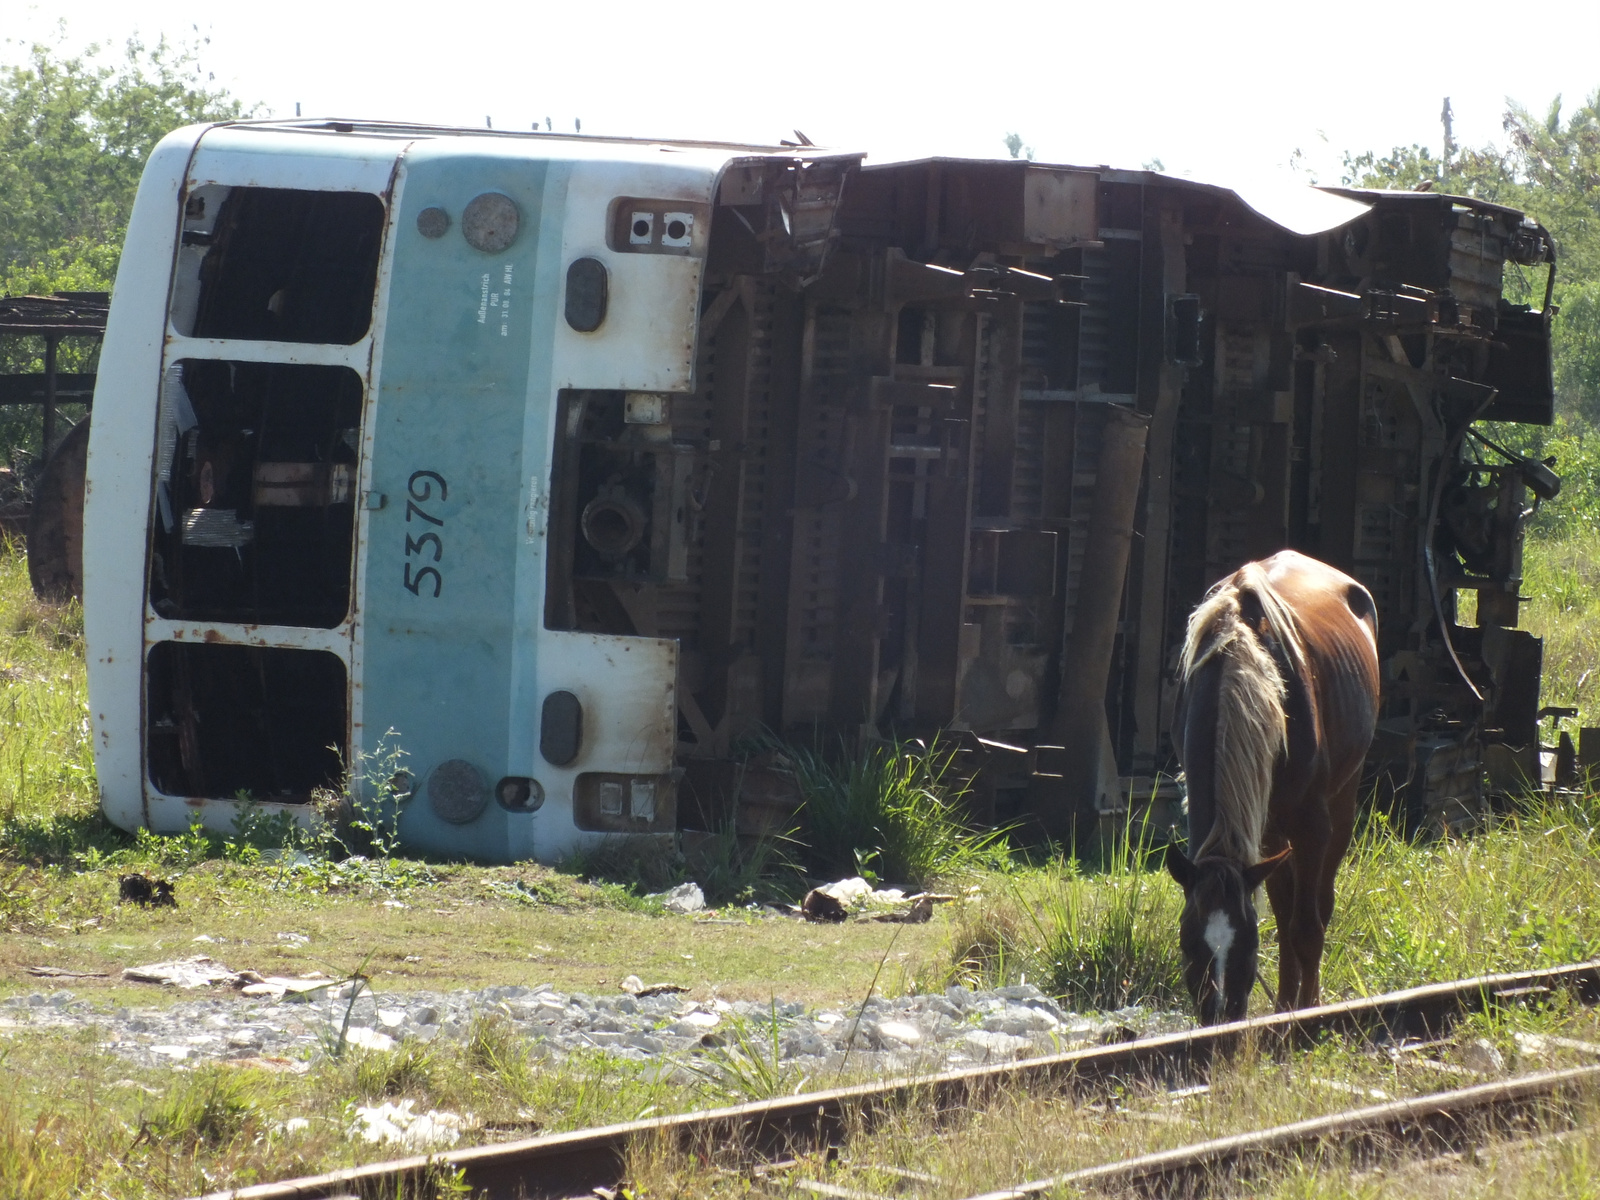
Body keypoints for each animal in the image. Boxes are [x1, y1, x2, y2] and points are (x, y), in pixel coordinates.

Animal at [1158, 553, 1382, 1024]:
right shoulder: (1262, 831)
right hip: (1272, 826)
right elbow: (1283, 919)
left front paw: (1308, 1014)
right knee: (1284, 904)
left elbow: (1307, 928)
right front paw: (1284, 1010)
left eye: (1248, 948)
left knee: (1317, 905)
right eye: (1188, 945)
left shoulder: (1311, 824)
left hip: (1339, 801)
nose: (1219, 1018)